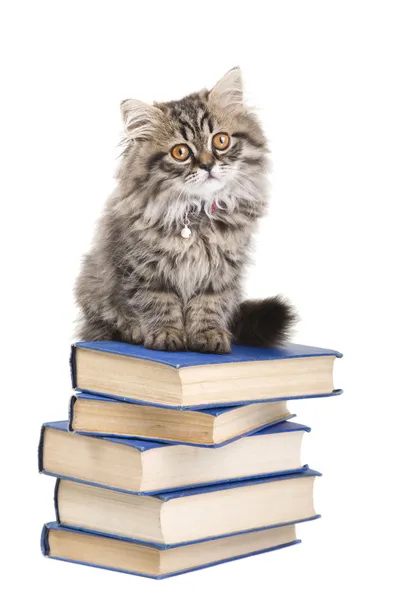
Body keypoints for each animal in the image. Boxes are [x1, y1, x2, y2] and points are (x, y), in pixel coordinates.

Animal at [75, 68, 296, 354]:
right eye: (180, 152)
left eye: (221, 140)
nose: (207, 165)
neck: (198, 213)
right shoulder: (144, 270)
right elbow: (158, 303)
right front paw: (167, 334)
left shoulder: (220, 272)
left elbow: (208, 305)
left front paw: (209, 335)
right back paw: (133, 331)